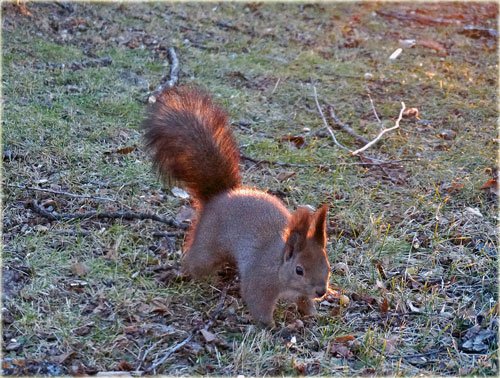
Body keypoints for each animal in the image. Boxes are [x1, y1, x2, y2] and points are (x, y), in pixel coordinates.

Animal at [143, 85, 330, 328]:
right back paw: (181, 274)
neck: (280, 266)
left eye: (326, 264)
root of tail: (220, 196)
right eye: (299, 270)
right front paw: (271, 327)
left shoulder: (300, 293)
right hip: (207, 246)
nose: (321, 291)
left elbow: (304, 302)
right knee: (195, 263)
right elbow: (257, 303)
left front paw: (313, 314)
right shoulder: (260, 282)